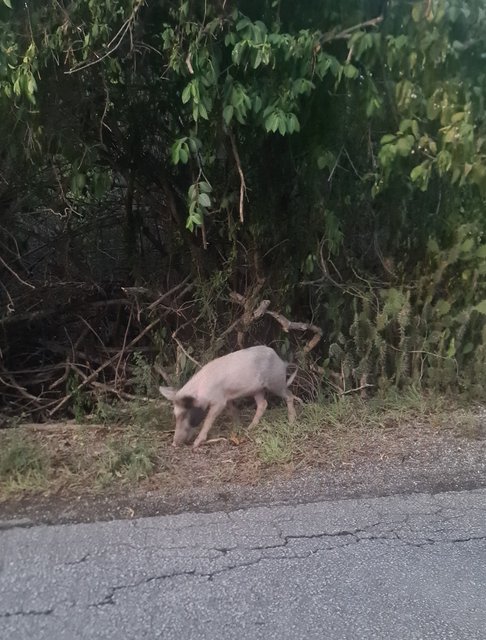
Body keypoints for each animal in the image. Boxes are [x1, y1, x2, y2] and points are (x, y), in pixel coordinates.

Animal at [159, 348, 298, 448]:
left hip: (276, 383)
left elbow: (209, 419)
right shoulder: (227, 398)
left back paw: (291, 422)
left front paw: (196, 444)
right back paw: (249, 428)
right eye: (175, 414)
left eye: (184, 414)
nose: (174, 443)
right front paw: (237, 428)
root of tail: (281, 361)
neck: (202, 392)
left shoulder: (219, 401)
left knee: (289, 395)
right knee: (263, 404)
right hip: (257, 390)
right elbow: (233, 411)